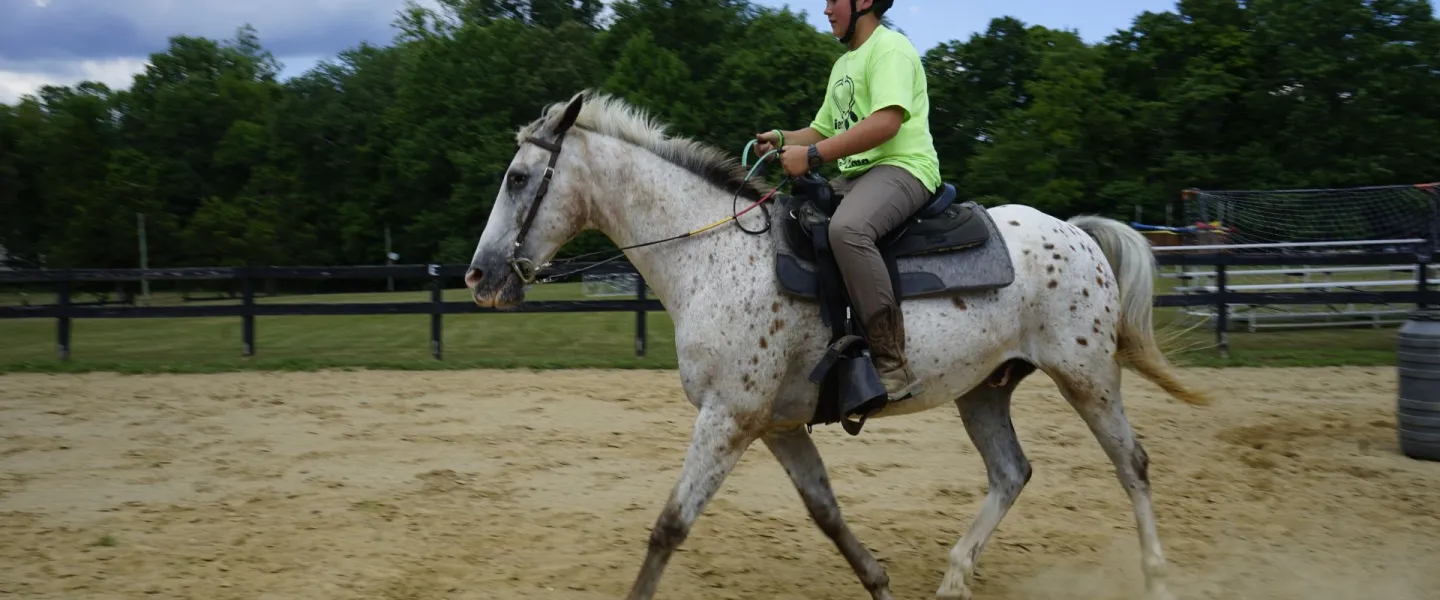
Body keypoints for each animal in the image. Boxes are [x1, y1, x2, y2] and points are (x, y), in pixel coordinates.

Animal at [462, 90, 1209, 600]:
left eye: (518, 178)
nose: (478, 276)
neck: (715, 254)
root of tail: (1077, 231)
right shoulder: (774, 425)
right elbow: (825, 511)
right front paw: (879, 581)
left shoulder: (728, 417)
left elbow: (670, 526)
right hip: (983, 391)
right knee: (1011, 473)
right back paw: (954, 576)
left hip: (1086, 375)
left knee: (1132, 464)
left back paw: (1156, 575)